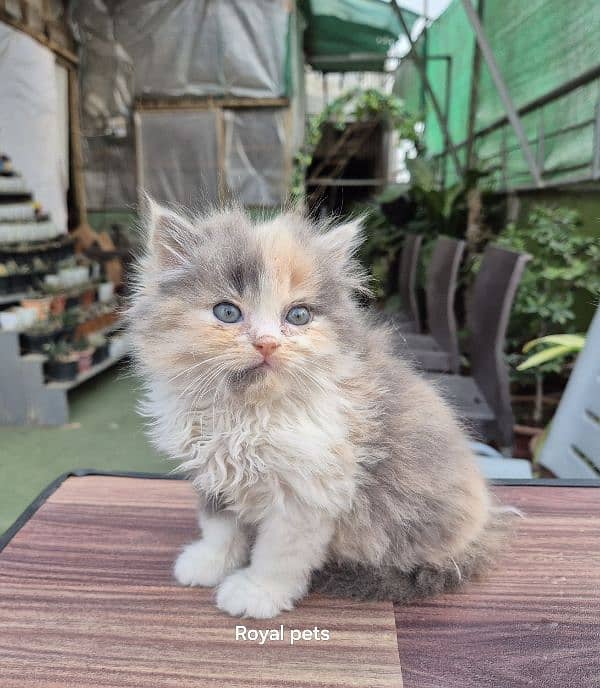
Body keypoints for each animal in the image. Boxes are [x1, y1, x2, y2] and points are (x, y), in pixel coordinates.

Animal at [129, 198, 508, 620]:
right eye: (227, 313)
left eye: (298, 316)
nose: (267, 343)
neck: (247, 414)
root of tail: (483, 529)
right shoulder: (214, 474)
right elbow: (220, 528)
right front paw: (209, 563)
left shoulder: (307, 492)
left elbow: (278, 554)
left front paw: (256, 593)